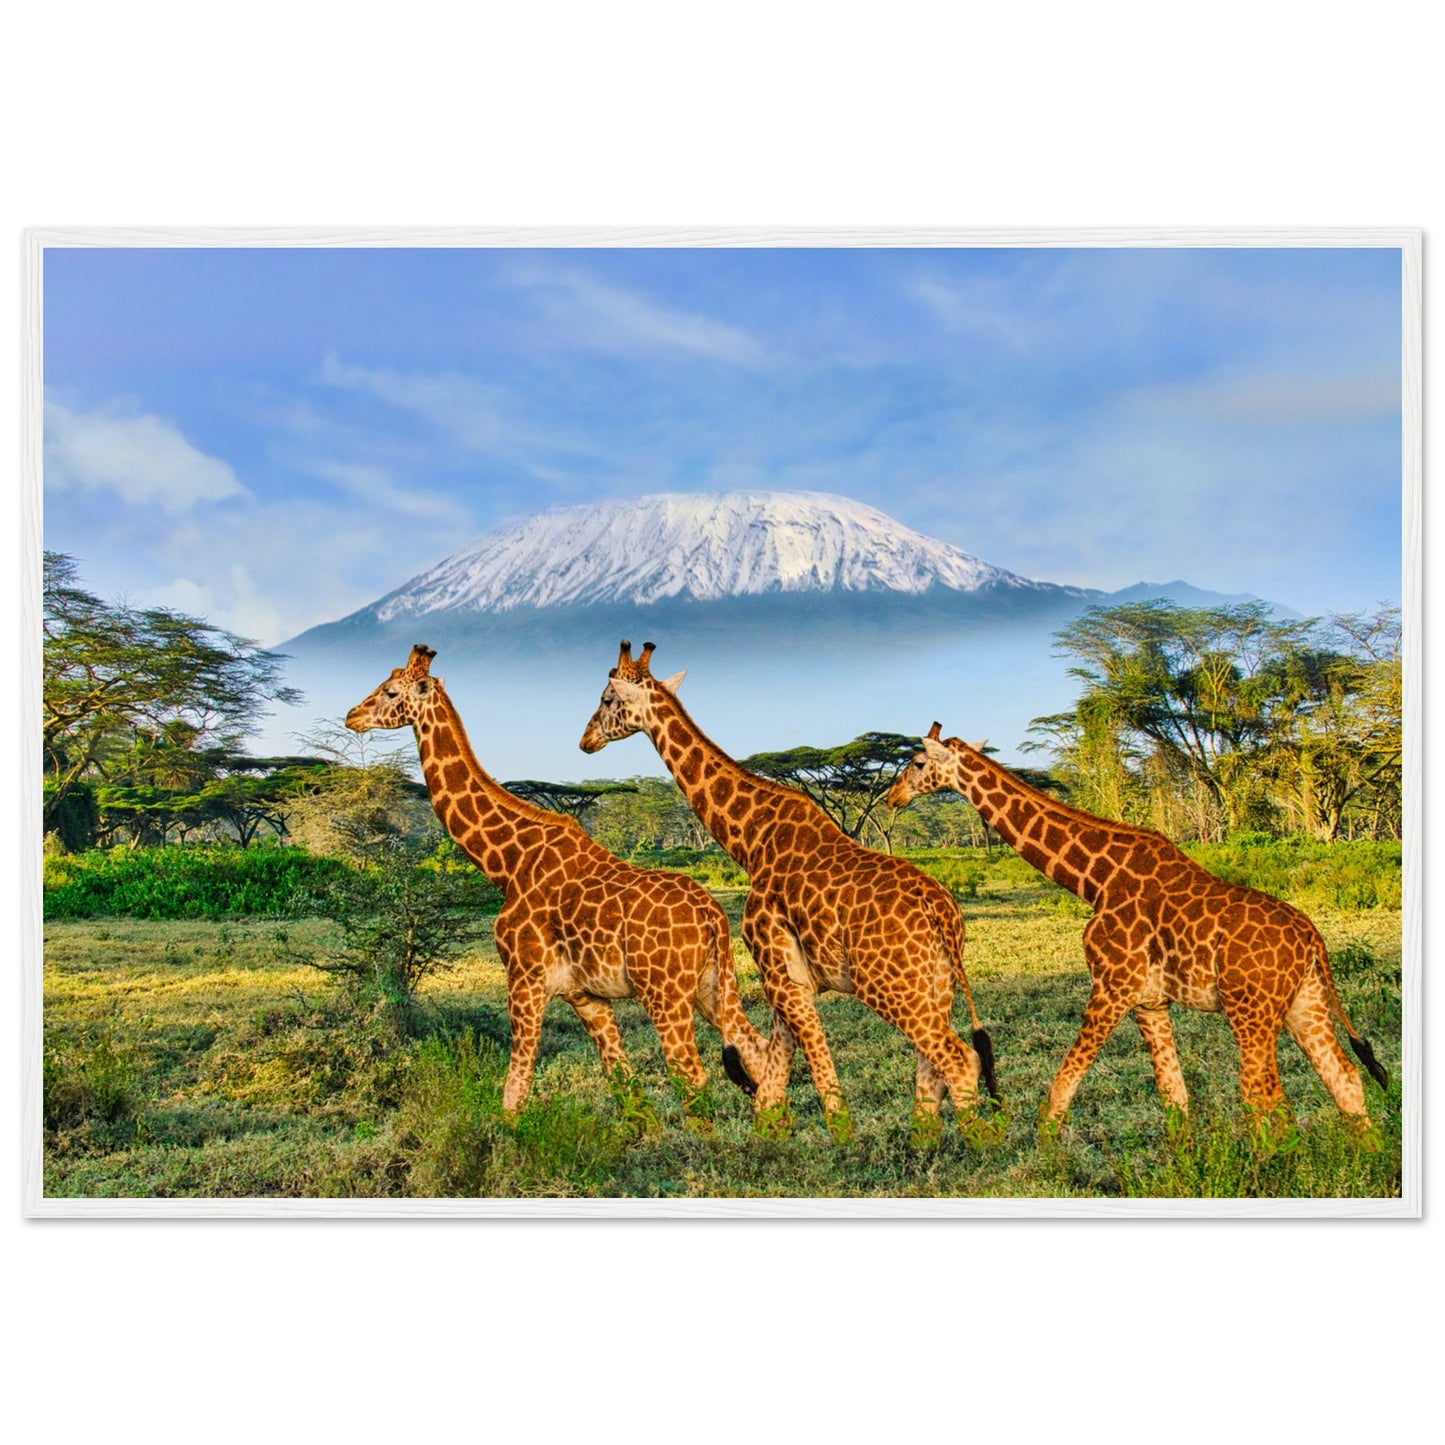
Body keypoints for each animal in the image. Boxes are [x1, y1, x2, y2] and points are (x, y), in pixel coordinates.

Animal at [345, 644, 770, 1128]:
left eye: (389, 691)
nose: (352, 715)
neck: (507, 863)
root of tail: (712, 917)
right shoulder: (586, 996)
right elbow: (626, 1088)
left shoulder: (524, 979)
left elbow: (515, 1093)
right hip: (714, 986)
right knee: (755, 1051)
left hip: (665, 994)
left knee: (693, 1079)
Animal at [579, 641, 999, 1145]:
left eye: (606, 698)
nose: (585, 741)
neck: (750, 840)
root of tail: (942, 913)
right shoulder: (781, 973)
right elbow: (773, 1076)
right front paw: (774, 1138)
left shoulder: (780, 972)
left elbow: (813, 1067)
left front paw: (841, 1141)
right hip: (936, 982)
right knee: (932, 1062)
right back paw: (922, 1143)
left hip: (889, 984)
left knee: (958, 1058)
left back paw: (979, 1145)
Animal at [887, 724, 1390, 1137]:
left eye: (917, 763)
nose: (892, 797)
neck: (1095, 881)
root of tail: (1313, 940)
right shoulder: (1149, 1001)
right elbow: (1174, 1096)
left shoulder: (1113, 985)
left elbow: (1063, 1086)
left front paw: (1047, 1157)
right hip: (1305, 1003)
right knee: (1345, 1078)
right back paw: (1364, 1157)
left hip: (1251, 1010)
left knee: (1265, 1097)